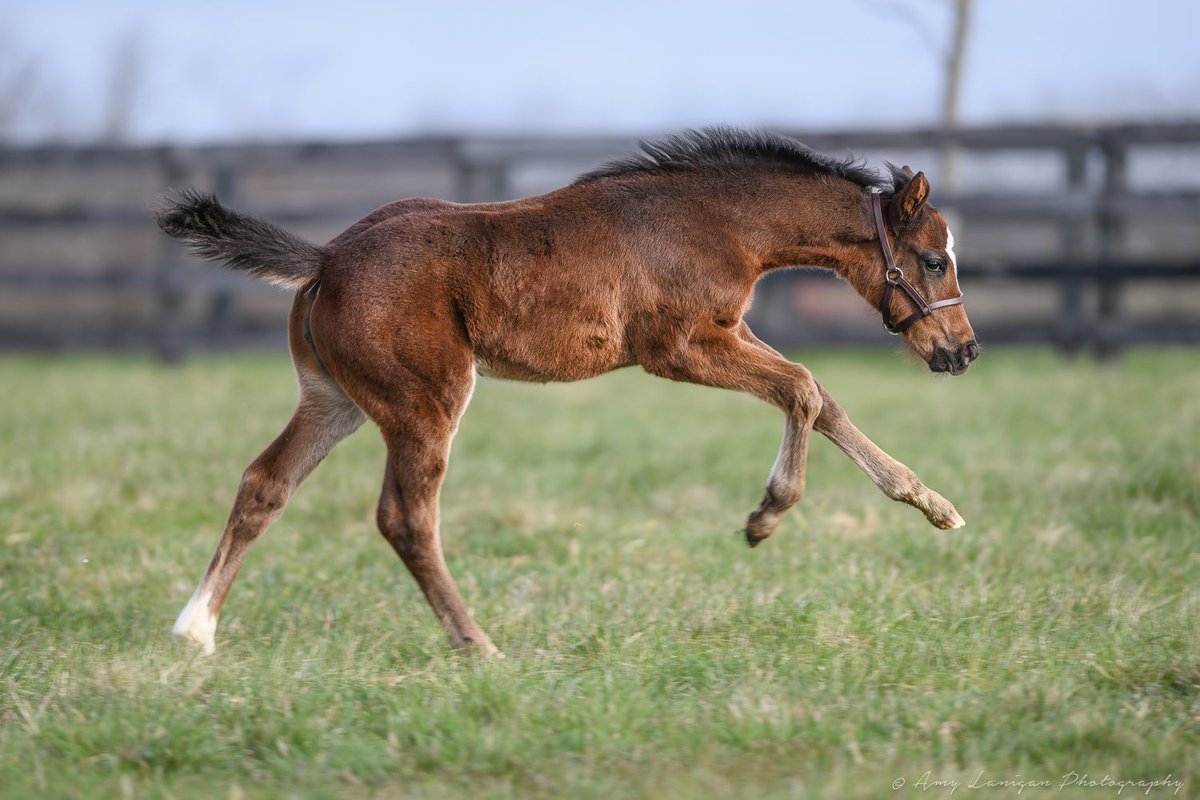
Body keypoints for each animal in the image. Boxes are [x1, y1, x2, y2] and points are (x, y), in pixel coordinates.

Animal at [159, 130, 979, 657]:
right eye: (934, 260)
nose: (963, 351)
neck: (715, 222)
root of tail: (326, 257)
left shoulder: (725, 333)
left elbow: (822, 396)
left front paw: (931, 503)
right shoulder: (679, 347)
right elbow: (804, 389)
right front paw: (766, 516)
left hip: (334, 399)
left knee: (265, 482)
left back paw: (196, 630)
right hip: (425, 401)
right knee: (406, 518)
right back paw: (477, 644)